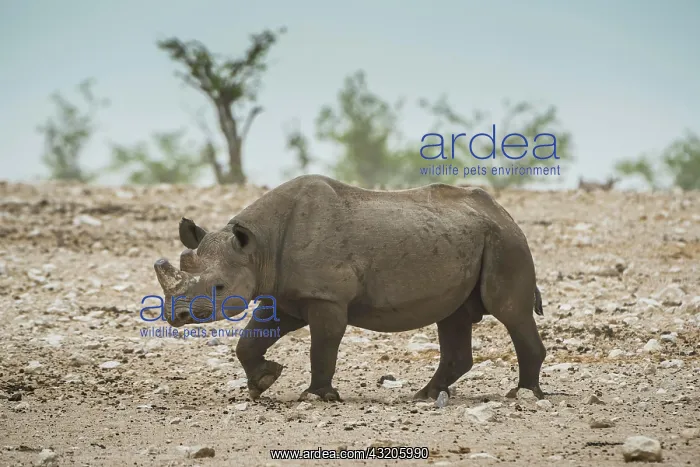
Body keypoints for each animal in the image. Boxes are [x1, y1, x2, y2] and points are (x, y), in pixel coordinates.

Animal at [153, 174, 547, 402]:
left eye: (219, 287)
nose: (177, 315)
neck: (258, 247)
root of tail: (504, 213)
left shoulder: (326, 296)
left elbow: (323, 345)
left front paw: (316, 397)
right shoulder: (285, 296)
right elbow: (250, 340)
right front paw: (264, 382)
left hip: (507, 243)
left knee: (509, 311)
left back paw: (523, 395)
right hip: (472, 238)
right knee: (453, 316)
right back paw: (424, 396)